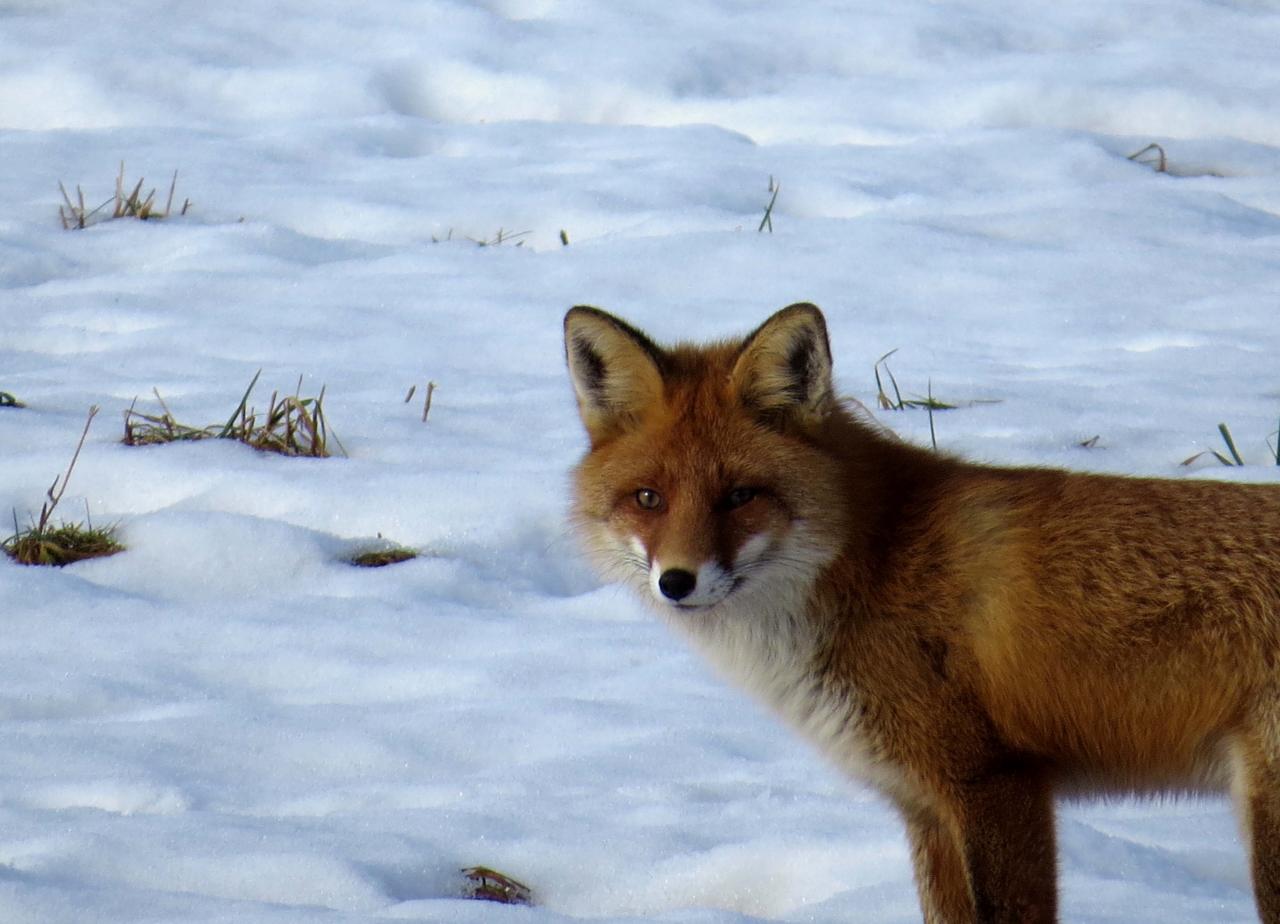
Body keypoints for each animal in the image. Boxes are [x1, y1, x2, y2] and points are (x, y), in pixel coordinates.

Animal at [565, 304, 1280, 921]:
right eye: (648, 498)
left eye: (741, 496)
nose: (676, 582)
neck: (874, 557)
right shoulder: (925, 808)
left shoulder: (995, 783)